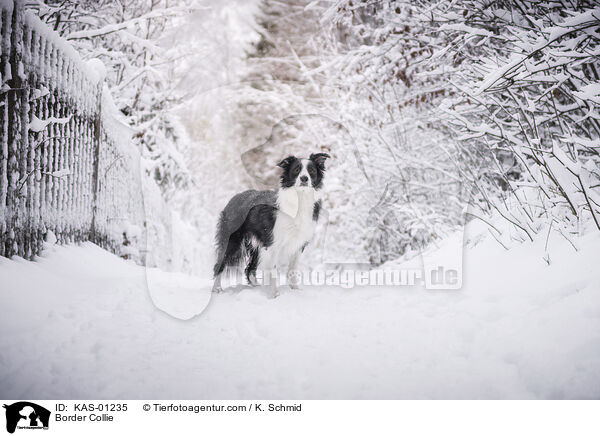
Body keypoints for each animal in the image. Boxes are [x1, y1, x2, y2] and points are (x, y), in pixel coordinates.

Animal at [213, 152, 330, 298]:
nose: (304, 178)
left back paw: (257, 288)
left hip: (258, 246)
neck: (299, 198)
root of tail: (235, 197)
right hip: (233, 242)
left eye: (312, 171)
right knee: (220, 264)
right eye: (296, 170)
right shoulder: (273, 243)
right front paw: (274, 295)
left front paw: (295, 291)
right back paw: (217, 289)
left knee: (249, 269)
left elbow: (293, 269)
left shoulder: (298, 243)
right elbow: (273, 270)